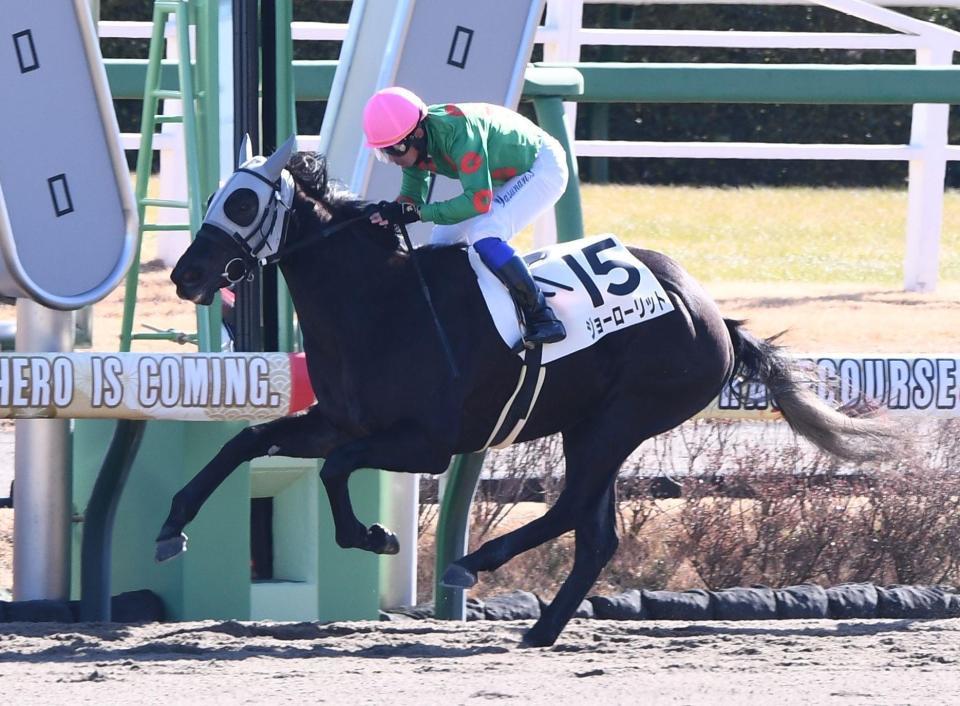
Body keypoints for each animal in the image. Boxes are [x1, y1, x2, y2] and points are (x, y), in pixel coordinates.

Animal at [161, 138, 904, 644]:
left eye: (243, 202)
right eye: (214, 197)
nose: (185, 274)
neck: (379, 303)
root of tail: (714, 315)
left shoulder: (427, 443)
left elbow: (338, 470)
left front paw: (374, 535)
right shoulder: (340, 420)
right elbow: (247, 442)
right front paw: (172, 529)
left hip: (620, 420)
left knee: (573, 507)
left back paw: (473, 562)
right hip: (592, 423)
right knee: (596, 533)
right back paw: (541, 628)